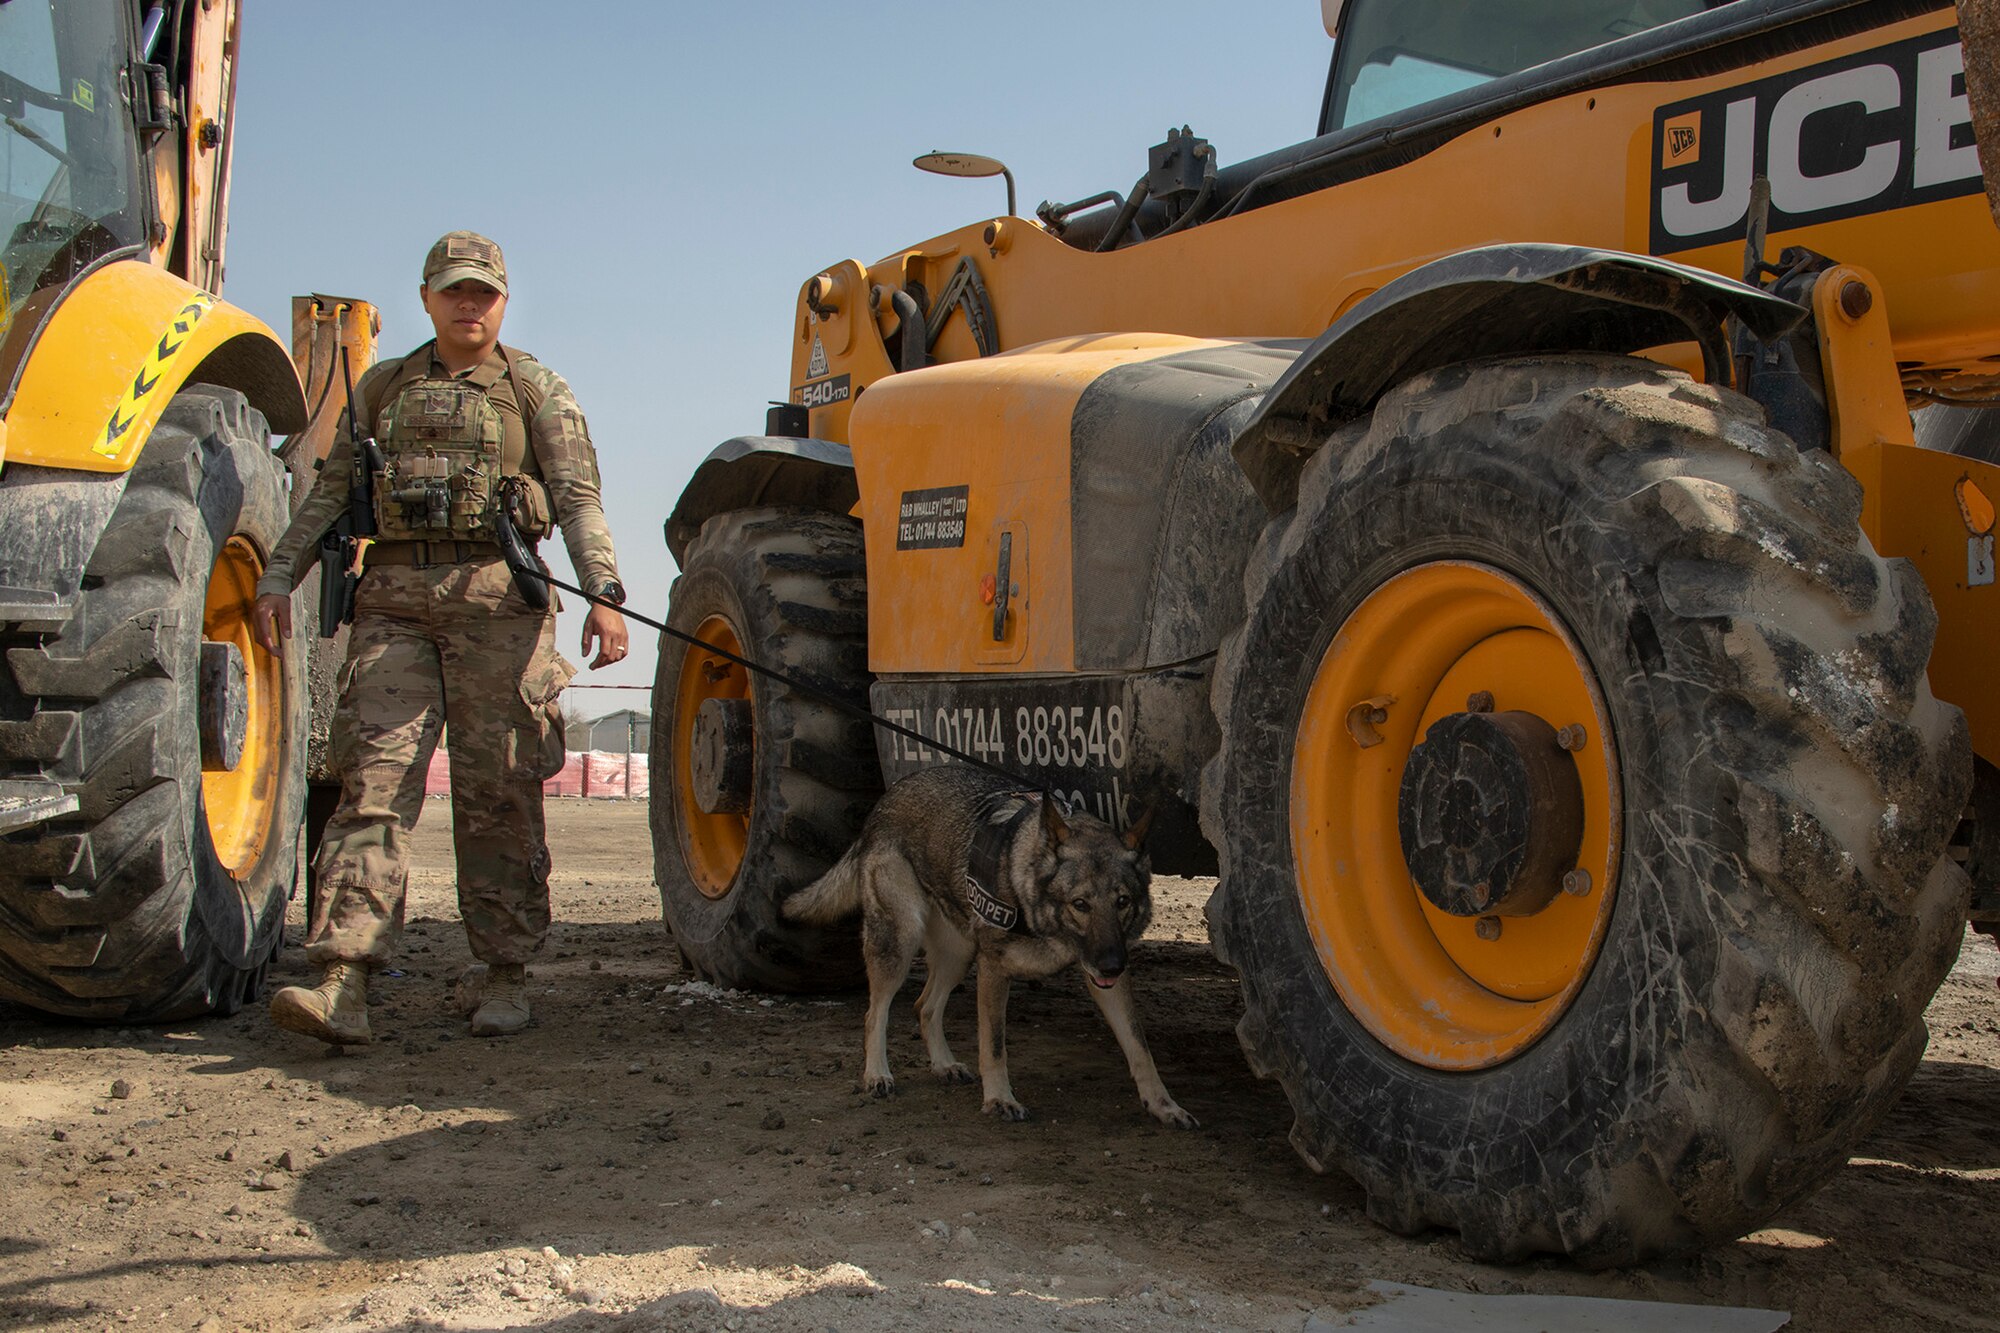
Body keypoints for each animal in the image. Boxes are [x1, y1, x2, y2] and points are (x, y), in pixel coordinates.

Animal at [780, 764, 1192, 1128]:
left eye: (1122, 902)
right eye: (1080, 904)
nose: (1112, 965)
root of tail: (886, 799)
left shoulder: (1105, 983)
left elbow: (1139, 1047)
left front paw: (1163, 1104)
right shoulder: (995, 970)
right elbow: (993, 1045)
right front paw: (999, 1100)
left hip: (958, 955)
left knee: (924, 1007)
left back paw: (944, 1065)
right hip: (899, 942)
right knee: (874, 1013)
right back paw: (877, 1074)